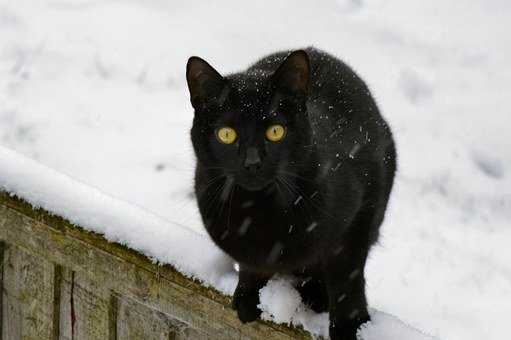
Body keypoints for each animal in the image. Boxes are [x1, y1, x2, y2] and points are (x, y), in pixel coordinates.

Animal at [186, 47, 398, 340]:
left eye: (275, 131)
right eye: (226, 134)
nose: (252, 162)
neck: (258, 209)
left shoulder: (358, 217)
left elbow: (347, 277)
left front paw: (350, 328)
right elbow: (252, 264)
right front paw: (248, 298)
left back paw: (316, 294)